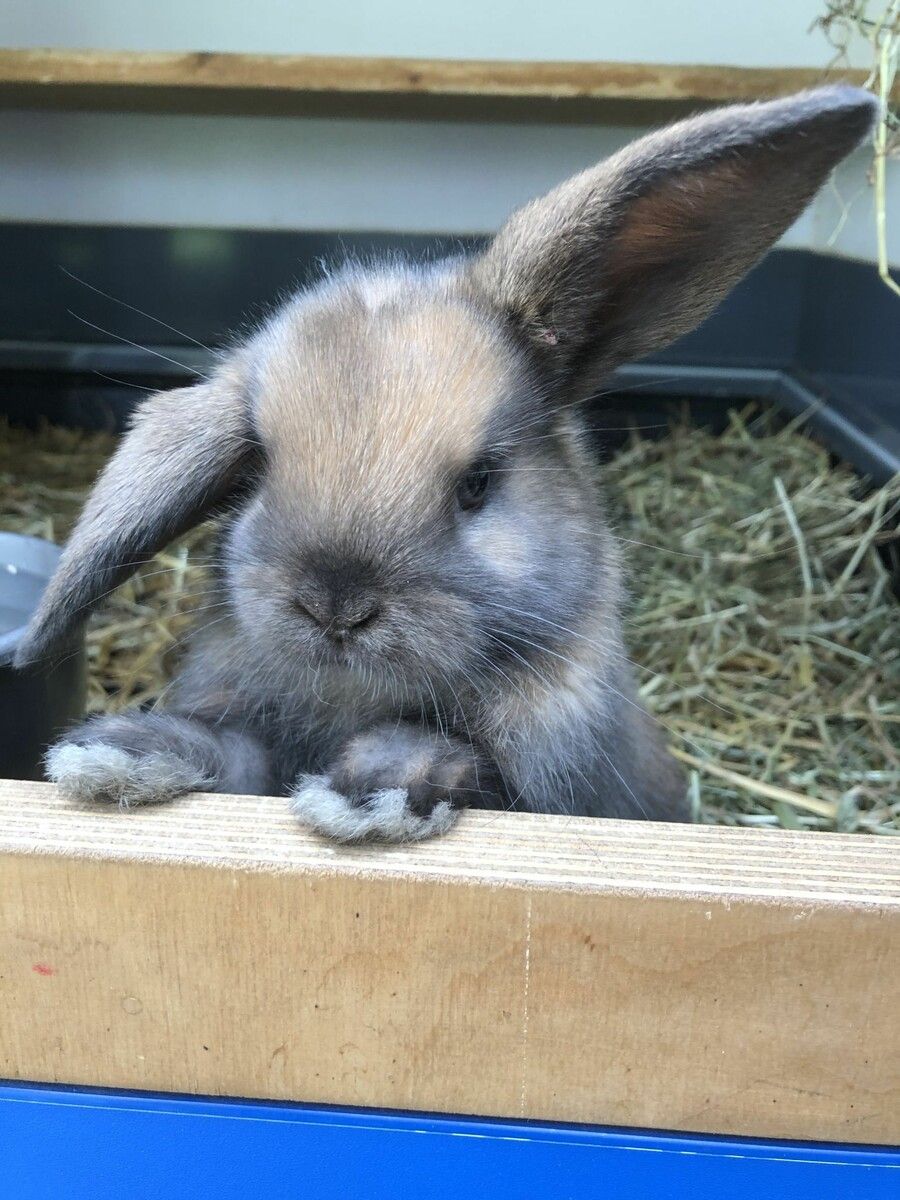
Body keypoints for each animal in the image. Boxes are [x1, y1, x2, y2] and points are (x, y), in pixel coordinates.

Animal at [17, 86, 876, 842]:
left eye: (479, 482)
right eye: (258, 465)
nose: (335, 607)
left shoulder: (544, 788)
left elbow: (455, 757)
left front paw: (370, 794)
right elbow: (229, 751)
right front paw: (113, 753)